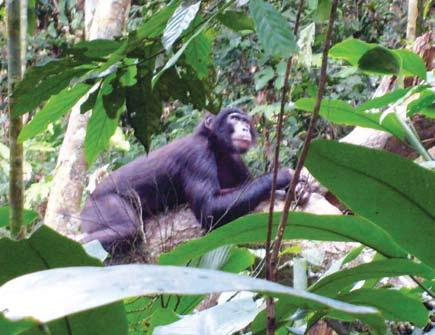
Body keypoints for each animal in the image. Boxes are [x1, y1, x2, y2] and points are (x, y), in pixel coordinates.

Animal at [82, 107, 296, 252]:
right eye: (234, 118)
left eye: (245, 120)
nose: (244, 127)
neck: (215, 145)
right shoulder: (196, 155)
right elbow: (209, 207)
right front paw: (284, 175)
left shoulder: (235, 160)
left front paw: (300, 188)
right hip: (99, 206)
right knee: (127, 229)